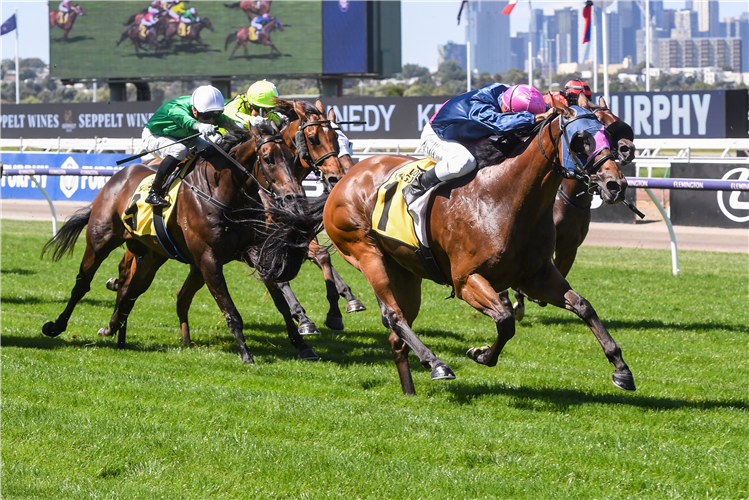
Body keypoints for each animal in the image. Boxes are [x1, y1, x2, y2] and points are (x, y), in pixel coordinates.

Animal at [40, 123, 322, 364]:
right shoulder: (208, 258)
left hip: (151, 255)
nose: (294, 197)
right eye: (267, 158)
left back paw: (114, 330)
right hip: (100, 241)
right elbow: (230, 310)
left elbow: (281, 304)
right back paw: (57, 325)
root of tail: (118, 176)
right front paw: (246, 354)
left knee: (131, 291)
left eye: (291, 157)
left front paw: (303, 346)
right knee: (82, 284)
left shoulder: (252, 252)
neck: (223, 193)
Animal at [322, 100, 632, 394]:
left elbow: (583, 306)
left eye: (608, 134)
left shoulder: (537, 277)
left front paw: (621, 369)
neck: (504, 198)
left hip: (405, 271)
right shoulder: (466, 279)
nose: (615, 185)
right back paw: (437, 363)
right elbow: (505, 320)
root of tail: (348, 176)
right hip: (365, 251)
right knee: (392, 315)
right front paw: (481, 354)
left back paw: (410, 391)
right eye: (581, 139)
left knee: (398, 335)